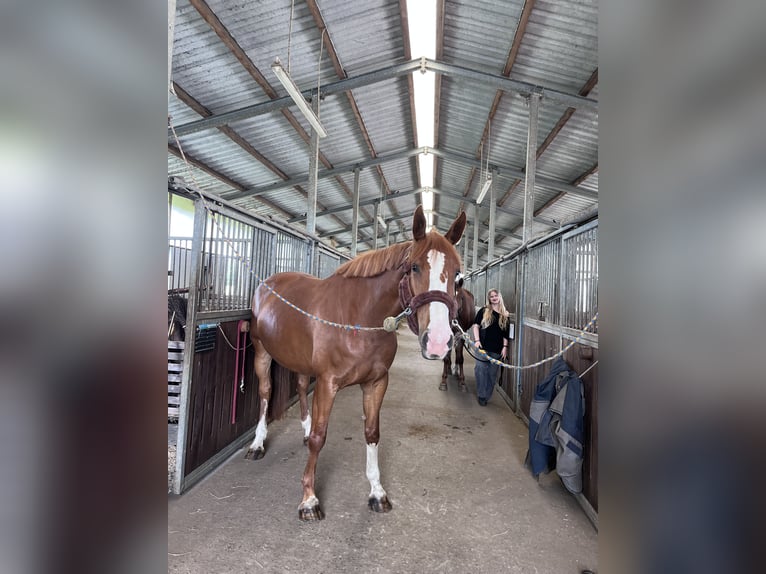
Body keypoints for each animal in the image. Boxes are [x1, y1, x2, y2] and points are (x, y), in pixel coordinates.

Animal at [245, 205, 466, 521]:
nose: (437, 341)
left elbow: (372, 433)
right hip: (261, 353)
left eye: (458, 275)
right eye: (414, 267)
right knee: (265, 393)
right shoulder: (327, 383)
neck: (358, 318)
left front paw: (377, 492)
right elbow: (320, 437)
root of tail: (269, 284)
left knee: (300, 386)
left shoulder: (376, 383)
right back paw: (257, 444)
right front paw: (309, 500)